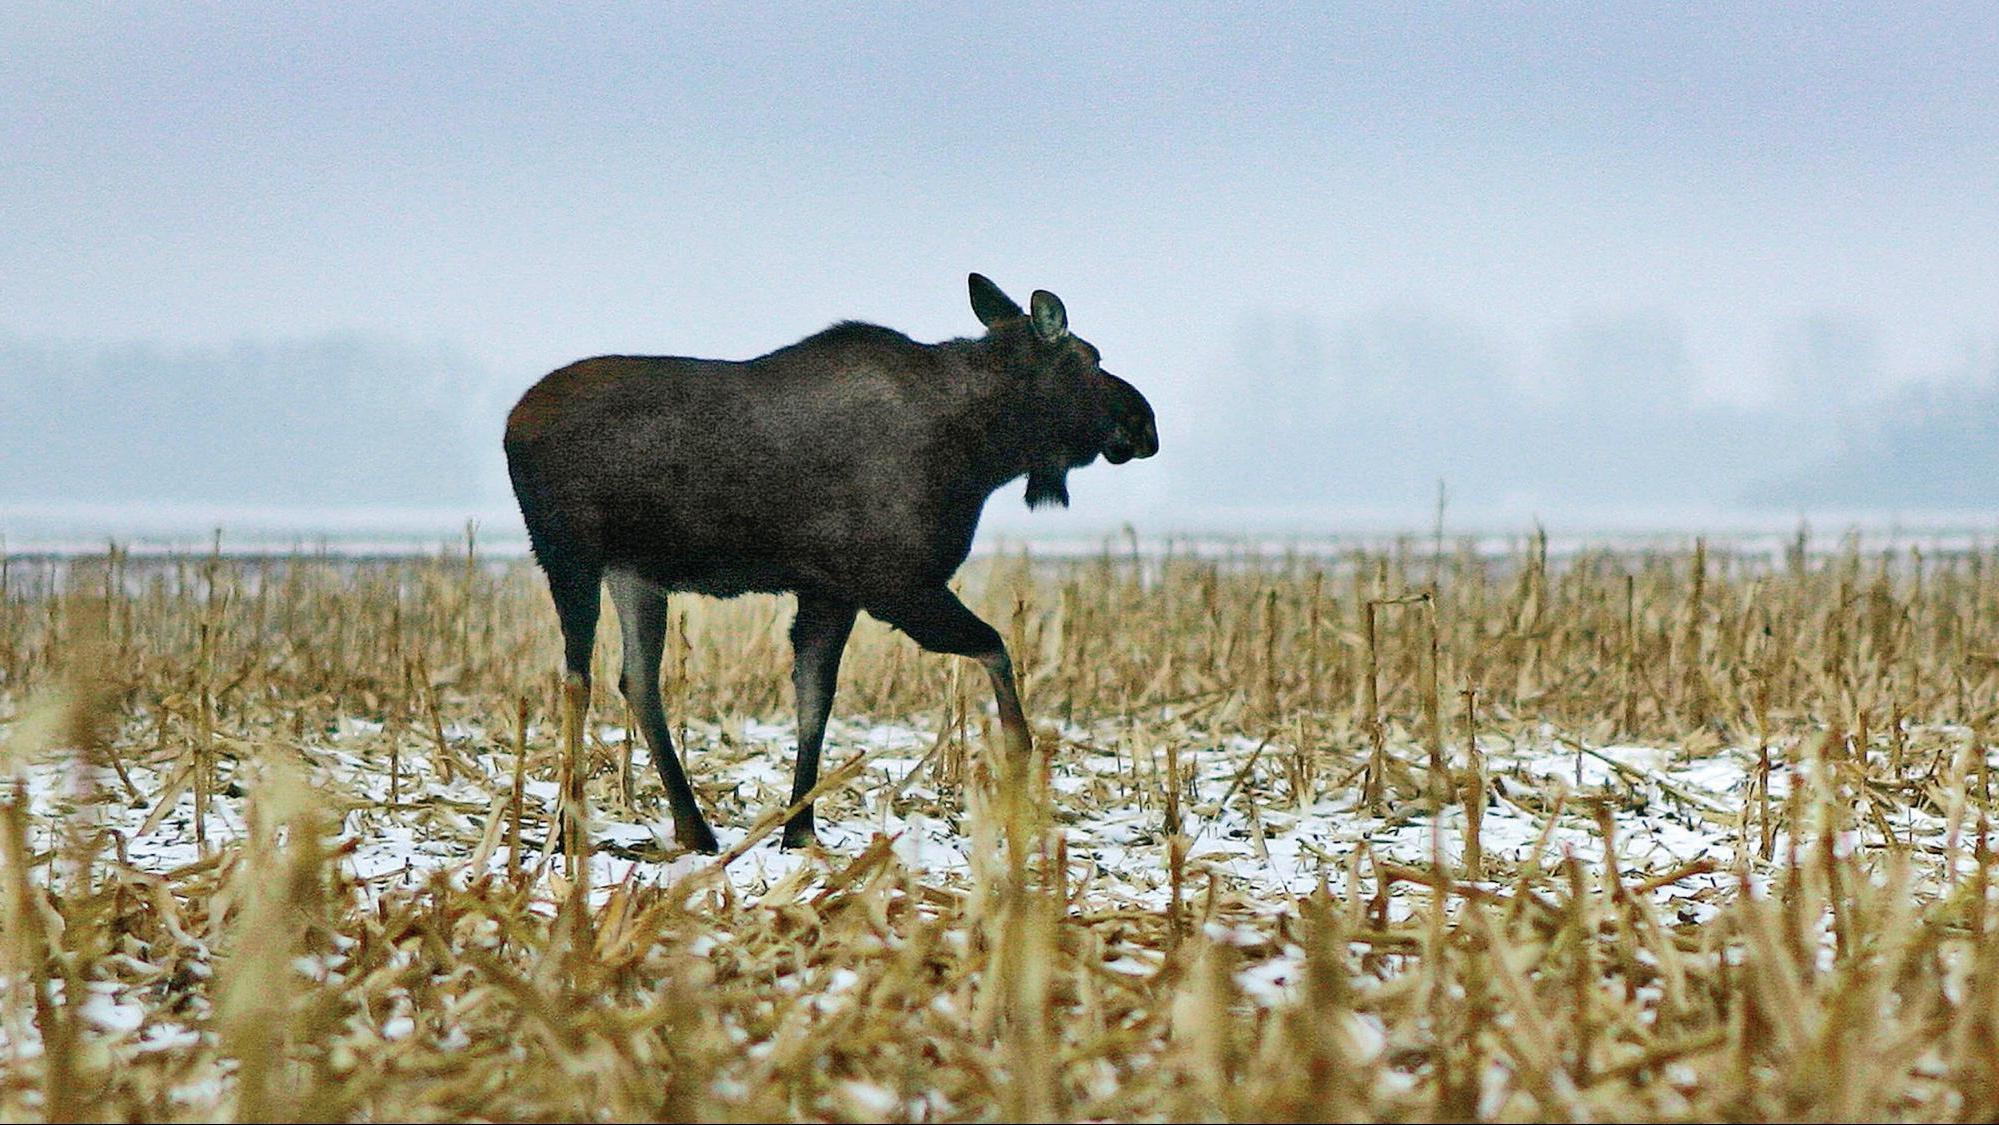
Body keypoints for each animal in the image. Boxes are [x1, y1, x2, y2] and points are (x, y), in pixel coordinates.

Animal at [499, 275, 1159, 855]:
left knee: (637, 679)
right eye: (1091, 358)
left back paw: (692, 828)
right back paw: (570, 830)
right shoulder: (896, 582)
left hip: (636, 572)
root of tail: (510, 423)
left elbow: (814, 700)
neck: (983, 451)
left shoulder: (831, 590)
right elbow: (995, 646)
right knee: (576, 679)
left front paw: (799, 829)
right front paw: (1021, 761)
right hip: (569, 553)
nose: (1145, 423)